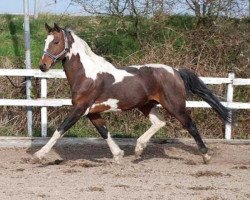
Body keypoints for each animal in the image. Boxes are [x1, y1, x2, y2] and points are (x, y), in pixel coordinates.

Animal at [33, 23, 230, 164]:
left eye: (56, 42)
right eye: (44, 42)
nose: (43, 66)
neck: (87, 75)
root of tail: (175, 71)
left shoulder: (80, 108)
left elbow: (60, 130)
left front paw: (39, 155)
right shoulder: (92, 112)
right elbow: (104, 132)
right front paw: (118, 155)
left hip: (175, 106)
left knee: (190, 125)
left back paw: (205, 156)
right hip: (146, 105)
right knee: (160, 122)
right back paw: (138, 150)